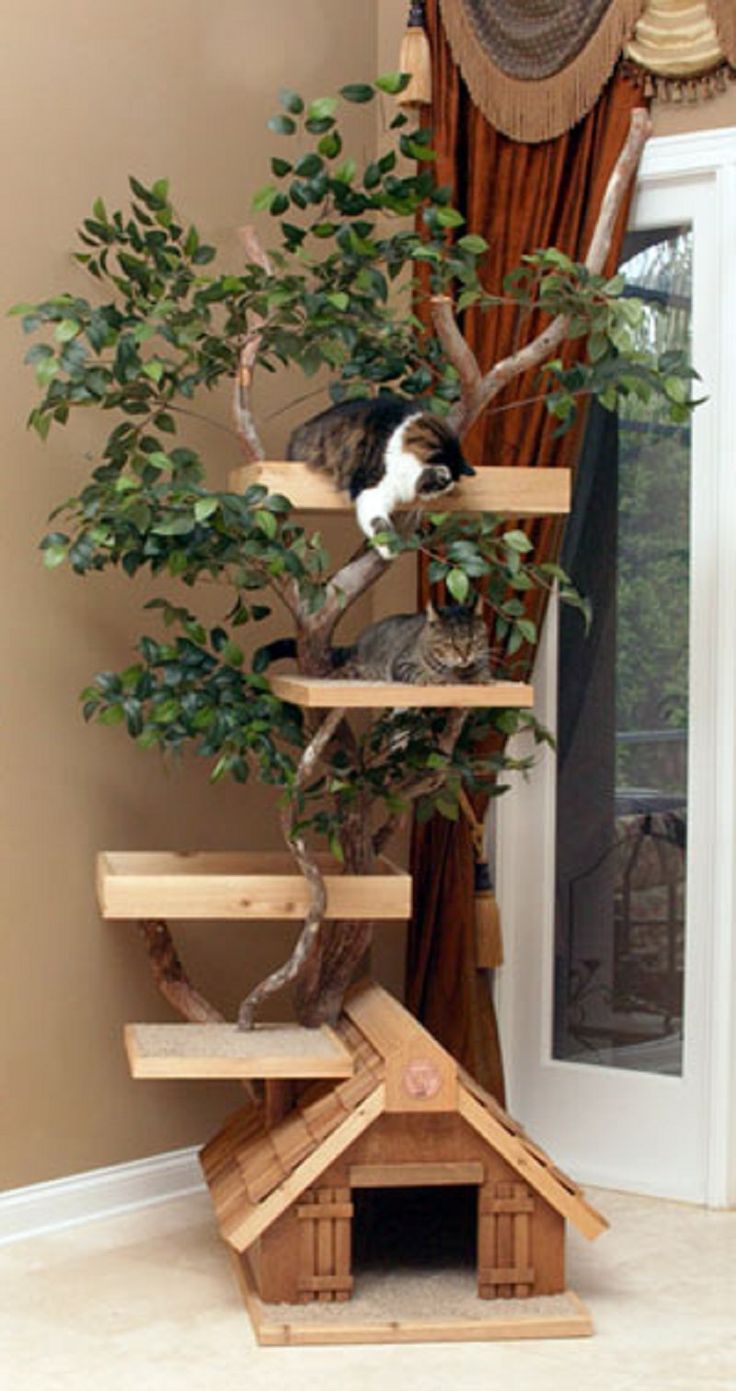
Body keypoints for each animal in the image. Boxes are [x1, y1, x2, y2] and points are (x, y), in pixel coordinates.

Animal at [283, 395, 473, 556]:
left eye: (446, 488)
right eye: (441, 484)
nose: (434, 497)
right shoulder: (371, 489)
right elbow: (378, 522)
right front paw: (390, 548)